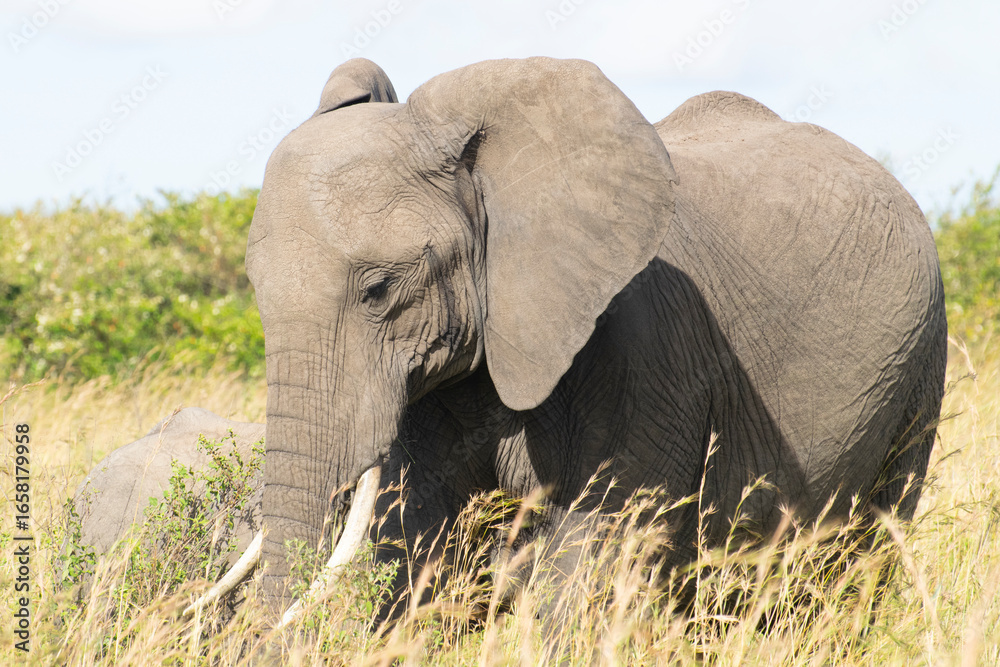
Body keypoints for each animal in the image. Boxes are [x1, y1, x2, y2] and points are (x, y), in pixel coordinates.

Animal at [233, 56, 945, 622]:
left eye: (379, 290)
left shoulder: (646, 344)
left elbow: (590, 551)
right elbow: (418, 539)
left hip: (918, 365)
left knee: (873, 544)